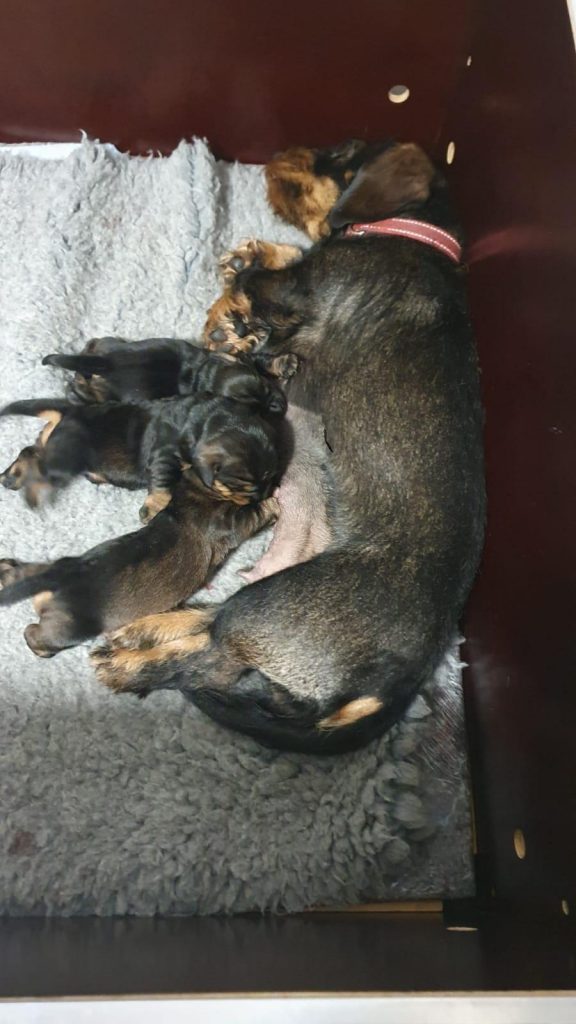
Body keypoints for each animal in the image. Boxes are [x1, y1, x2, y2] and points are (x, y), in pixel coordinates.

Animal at [0, 475, 278, 657]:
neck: (191, 493)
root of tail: (57, 578)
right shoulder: (231, 523)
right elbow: (255, 514)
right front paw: (273, 503)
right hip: (67, 627)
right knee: (35, 637)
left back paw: (7, 568)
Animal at [89, 140, 484, 756]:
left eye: (338, 152)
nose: (277, 157)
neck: (416, 232)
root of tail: (396, 684)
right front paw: (256, 252)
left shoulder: (296, 293)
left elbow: (258, 283)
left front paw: (228, 308)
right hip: (263, 606)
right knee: (206, 628)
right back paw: (144, 630)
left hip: (264, 608)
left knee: (205, 662)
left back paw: (131, 665)